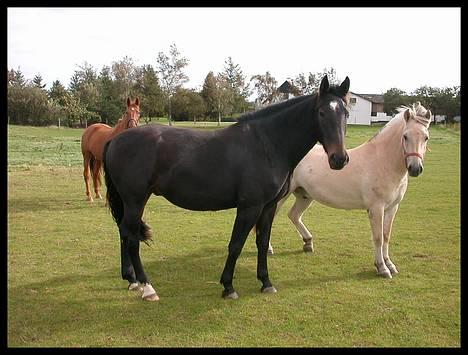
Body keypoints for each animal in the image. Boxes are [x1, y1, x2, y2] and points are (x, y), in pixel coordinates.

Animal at [103, 74, 352, 300]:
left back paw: (132, 280)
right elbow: (236, 244)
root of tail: (116, 139)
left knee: (124, 232)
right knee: (131, 237)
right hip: (136, 200)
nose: (339, 159)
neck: (267, 144)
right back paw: (147, 287)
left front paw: (266, 282)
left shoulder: (268, 206)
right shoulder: (249, 207)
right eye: (321, 112)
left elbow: (262, 242)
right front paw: (228, 287)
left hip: (130, 202)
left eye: (346, 113)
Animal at [268, 101, 434, 280]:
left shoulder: (392, 207)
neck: (382, 161)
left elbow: (386, 236)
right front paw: (382, 267)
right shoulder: (376, 208)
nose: (415, 168)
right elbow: (377, 237)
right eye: (405, 136)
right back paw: (269, 249)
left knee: (294, 215)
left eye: (426, 137)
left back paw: (308, 242)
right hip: (282, 197)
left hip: (304, 196)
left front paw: (390, 264)